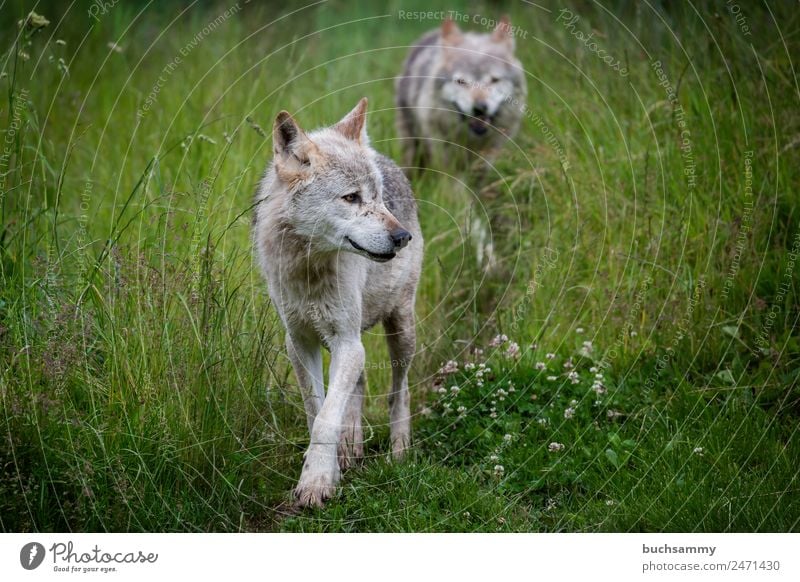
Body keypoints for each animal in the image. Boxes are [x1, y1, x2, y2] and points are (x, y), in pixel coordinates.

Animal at [255, 98, 424, 508]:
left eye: (376, 197)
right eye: (351, 198)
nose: (403, 237)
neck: (309, 269)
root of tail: (387, 158)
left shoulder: (346, 342)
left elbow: (327, 417)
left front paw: (315, 483)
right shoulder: (301, 342)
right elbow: (317, 412)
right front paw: (329, 472)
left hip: (400, 331)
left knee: (400, 391)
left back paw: (400, 451)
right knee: (359, 388)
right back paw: (351, 448)